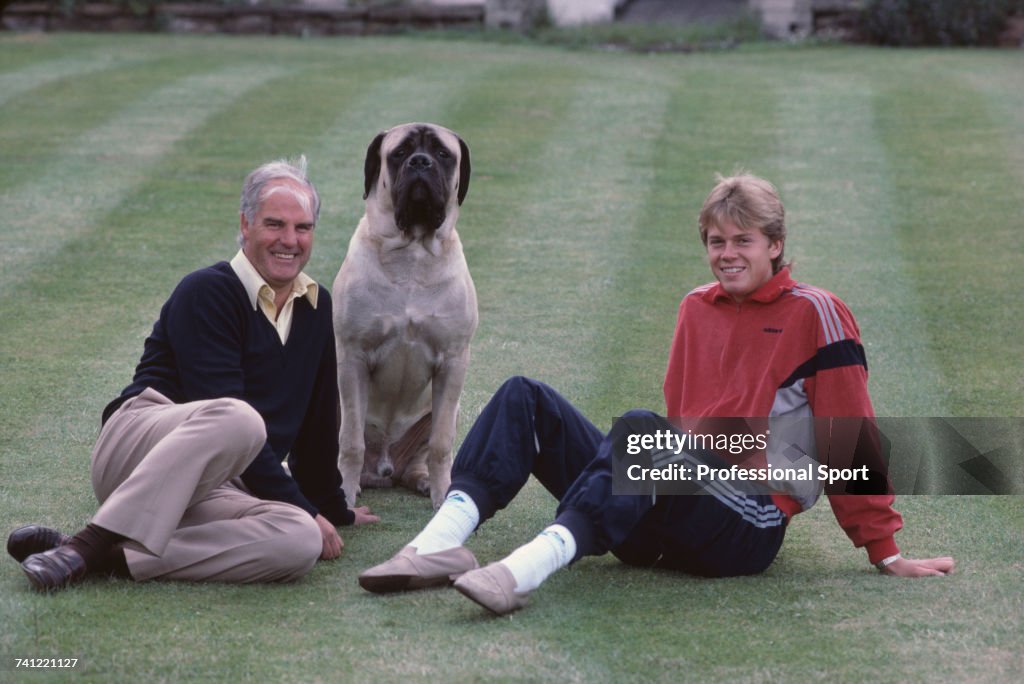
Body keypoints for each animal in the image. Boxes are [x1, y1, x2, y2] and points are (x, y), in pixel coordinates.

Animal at [335, 121, 479, 507]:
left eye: (443, 153)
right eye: (399, 153)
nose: (420, 162)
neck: (412, 253)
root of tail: (385, 468)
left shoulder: (453, 361)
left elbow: (441, 445)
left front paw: (443, 495)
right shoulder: (353, 356)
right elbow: (351, 441)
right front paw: (344, 496)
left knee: (424, 455)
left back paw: (426, 480)